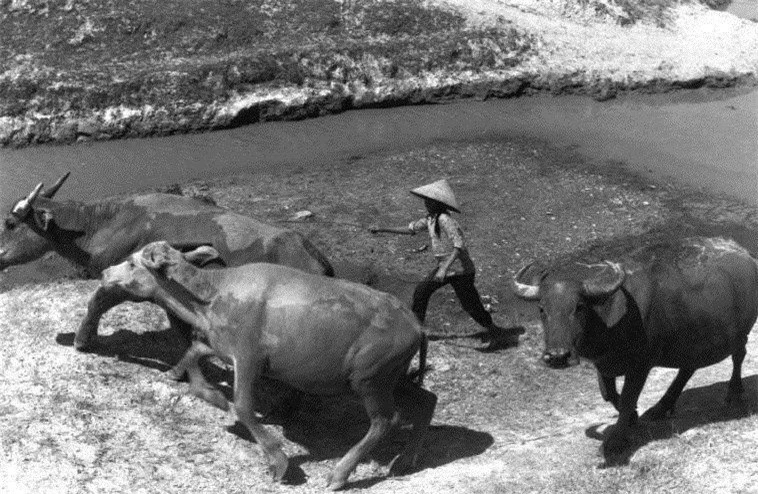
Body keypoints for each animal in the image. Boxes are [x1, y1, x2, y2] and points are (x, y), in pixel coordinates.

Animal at [2, 176, 336, 408]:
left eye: (10, 222)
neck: (103, 223)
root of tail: (312, 255)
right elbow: (181, 331)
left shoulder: (127, 282)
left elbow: (97, 302)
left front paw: (82, 340)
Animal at [99, 239, 440, 490]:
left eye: (132, 263)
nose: (104, 273)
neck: (211, 297)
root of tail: (415, 323)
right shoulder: (218, 347)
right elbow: (192, 358)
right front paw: (214, 397)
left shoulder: (249, 359)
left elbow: (244, 407)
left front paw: (279, 462)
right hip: (392, 377)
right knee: (427, 400)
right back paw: (405, 461)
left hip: (368, 379)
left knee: (386, 420)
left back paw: (339, 475)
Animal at [510, 237, 758, 462]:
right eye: (542, 308)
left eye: (579, 307)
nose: (558, 356)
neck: (610, 319)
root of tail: (747, 256)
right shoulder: (603, 363)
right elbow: (608, 394)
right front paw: (632, 417)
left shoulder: (640, 366)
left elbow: (629, 397)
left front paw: (614, 441)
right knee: (688, 368)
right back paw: (660, 407)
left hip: (739, 334)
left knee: (738, 356)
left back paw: (734, 392)